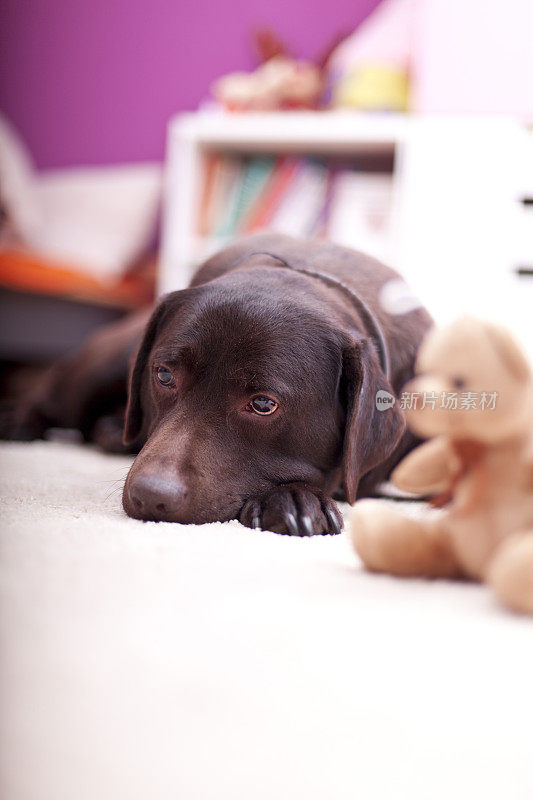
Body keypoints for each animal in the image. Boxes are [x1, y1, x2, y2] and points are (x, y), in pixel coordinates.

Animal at [2, 234, 430, 536]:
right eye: (164, 375)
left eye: (263, 404)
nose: (151, 496)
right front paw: (295, 499)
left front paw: (295, 499)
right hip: (98, 368)